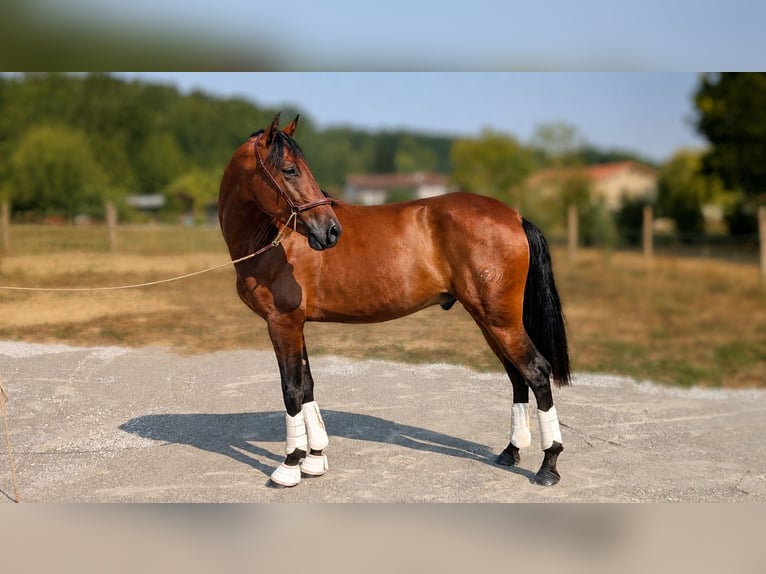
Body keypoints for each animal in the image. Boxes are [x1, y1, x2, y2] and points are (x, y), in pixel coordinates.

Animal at [218, 113, 570, 488]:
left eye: (299, 168)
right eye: (289, 170)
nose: (331, 231)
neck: (274, 238)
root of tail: (515, 216)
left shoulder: (282, 323)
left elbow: (292, 390)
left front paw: (289, 465)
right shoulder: (296, 324)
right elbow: (307, 385)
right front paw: (314, 459)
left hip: (500, 320)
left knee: (536, 371)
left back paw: (548, 466)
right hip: (490, 320)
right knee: (517, 376)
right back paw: (511, 451)